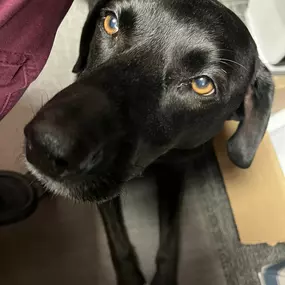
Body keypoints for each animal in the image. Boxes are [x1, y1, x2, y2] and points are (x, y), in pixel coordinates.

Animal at [24, 1, 272, 282]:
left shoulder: (175, 170)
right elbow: (117, 240)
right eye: (111, 23)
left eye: (202, 84)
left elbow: (171, 236)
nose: (44, 146)